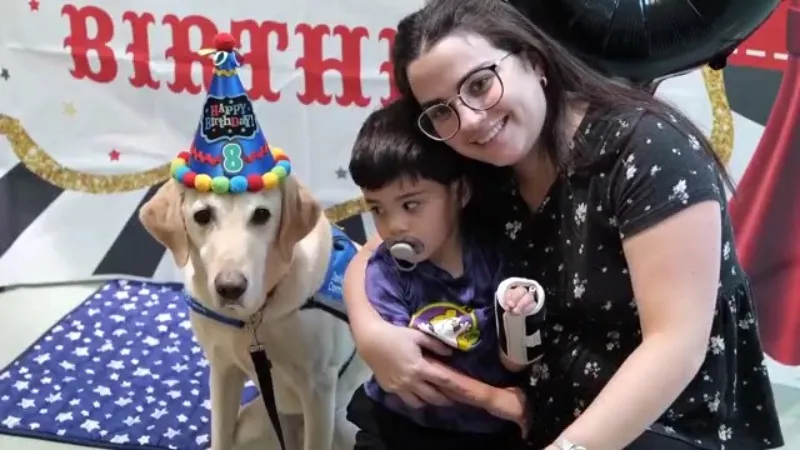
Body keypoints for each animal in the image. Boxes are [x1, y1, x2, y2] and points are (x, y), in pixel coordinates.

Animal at [138, 177, 372, 450]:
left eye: (261, 214)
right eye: (203, 215)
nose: (230, 288)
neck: (253, 317)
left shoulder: (319, 388)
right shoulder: (223, 370)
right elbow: (220, 437)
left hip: (342, 423)